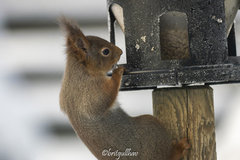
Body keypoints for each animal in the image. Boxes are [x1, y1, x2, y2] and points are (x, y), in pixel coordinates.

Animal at [59, 16, 190, 160]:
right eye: (105, 51)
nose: (121, 52)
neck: (82, 70)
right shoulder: (89, 89)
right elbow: (105, 97)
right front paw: (117, 72)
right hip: (151, 129)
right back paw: (178, 149)